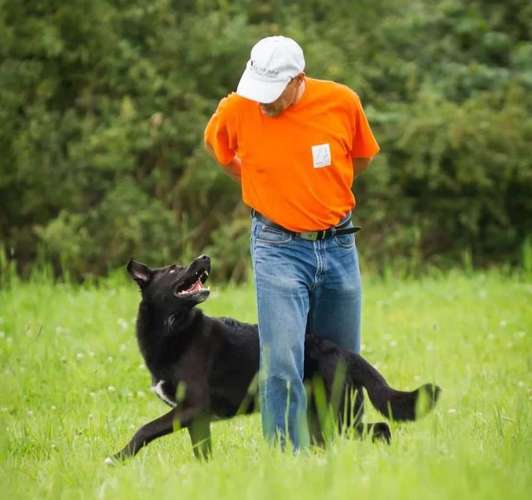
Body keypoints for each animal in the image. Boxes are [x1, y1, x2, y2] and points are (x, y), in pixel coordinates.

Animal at [107, 256, 440, 462]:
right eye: (173, 269)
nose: (205, 257)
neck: (174, 329)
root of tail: (342, 352)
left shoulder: (192, 406)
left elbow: (146, 428)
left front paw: (117, 458)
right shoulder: (196, 418)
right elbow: (202, 453)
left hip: (338, 413)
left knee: (381, 429)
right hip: (321, 415)